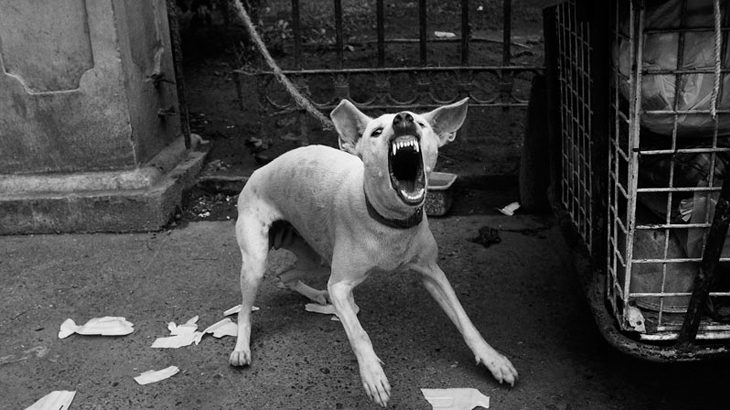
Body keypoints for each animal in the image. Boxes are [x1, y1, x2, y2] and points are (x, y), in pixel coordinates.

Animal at [229, 99, 518, 407]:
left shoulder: (433, 273)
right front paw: (372, 376)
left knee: (285, 275)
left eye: (421, 122)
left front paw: (493, 360)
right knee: (246, 311)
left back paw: (317, 295)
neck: (390, 221)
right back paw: (242, 349)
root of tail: (257, 172)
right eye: (376, 131)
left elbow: (465, 320)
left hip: (316, 257)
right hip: (256, 263)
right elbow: (359, 334)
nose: (403, 118)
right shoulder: (341, 285)